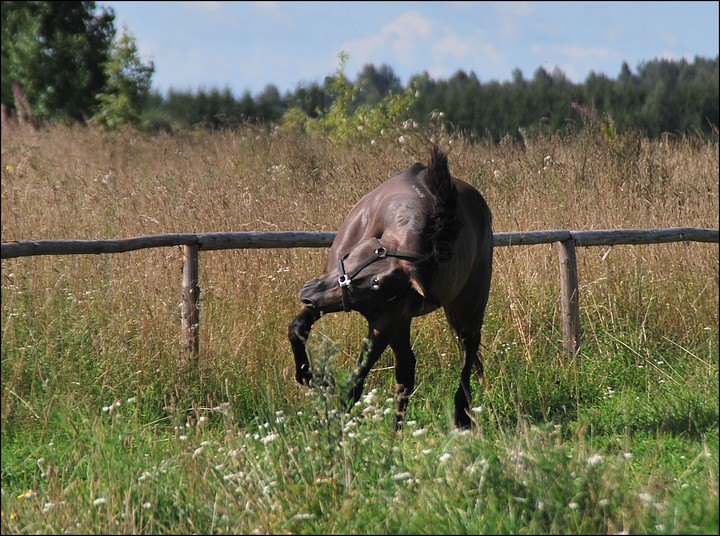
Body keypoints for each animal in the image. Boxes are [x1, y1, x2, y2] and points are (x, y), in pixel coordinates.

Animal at [290, 146, 492, 428]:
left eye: (379, 286)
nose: (307, 294)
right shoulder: (333, 296)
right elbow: (297, 328)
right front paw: (309, 375)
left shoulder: (382, 320)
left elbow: (356, 381)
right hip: (402, 323)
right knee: (407, 369)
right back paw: (397, 429)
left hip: (466, 309)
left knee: (464, 354)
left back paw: (458, 416)